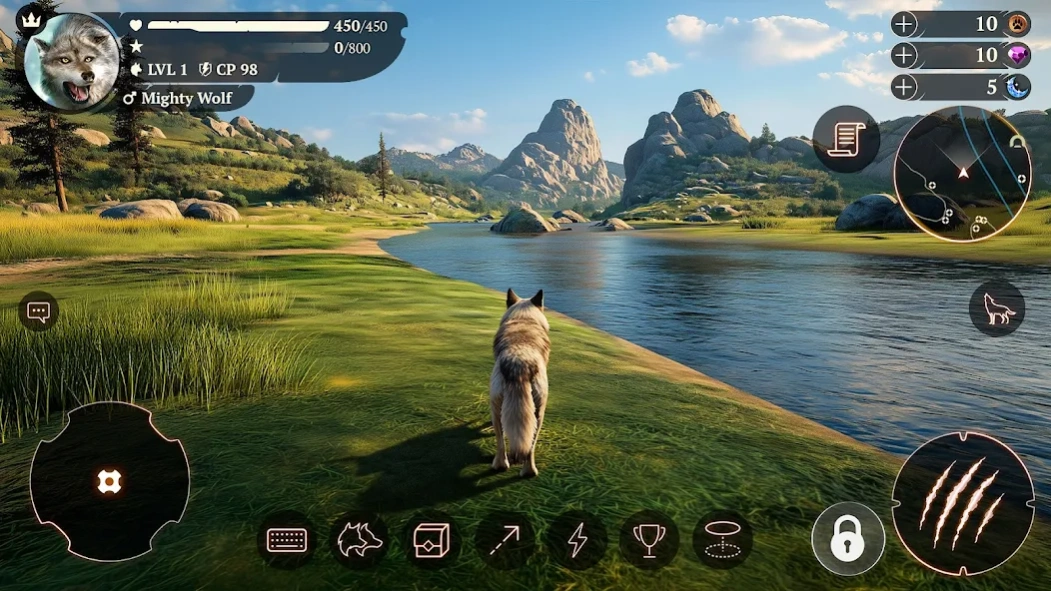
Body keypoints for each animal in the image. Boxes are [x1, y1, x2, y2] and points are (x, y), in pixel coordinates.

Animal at [490, 288, 550, 478]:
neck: (524, 317)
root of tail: (519, 362)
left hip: (498, 405)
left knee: (502, 440)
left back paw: (502, 465)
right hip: (538, 410)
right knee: (529, 445)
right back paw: (527, 471)